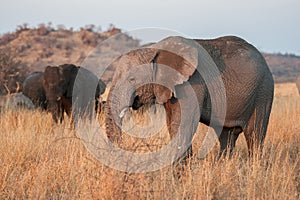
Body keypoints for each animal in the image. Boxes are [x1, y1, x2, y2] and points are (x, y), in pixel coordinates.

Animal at [105, 35, 274, 164]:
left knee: (255, 134)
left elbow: (182, 123)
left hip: (263, 92)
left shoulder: (191, 84)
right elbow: (172, 123)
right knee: (226, 136)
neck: (155, 48)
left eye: (132, 79)